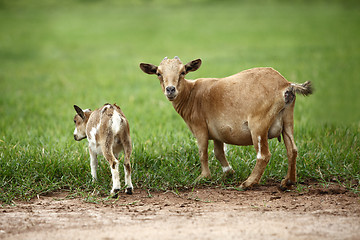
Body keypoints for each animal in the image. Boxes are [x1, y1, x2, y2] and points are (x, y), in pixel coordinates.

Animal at [140, 56, 312, 189]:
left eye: (183, 72)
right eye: (158, 73)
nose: (170, 89)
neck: (192, 95)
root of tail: (286, 85)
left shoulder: (200, 127)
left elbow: (203, 152)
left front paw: (203, 177)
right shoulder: (217, 132)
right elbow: (218, 152)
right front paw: (228, 172)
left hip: (259, 124)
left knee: (263, 155)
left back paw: (248, 183)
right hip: (287, 119)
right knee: (292, 150)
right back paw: (288, 181)